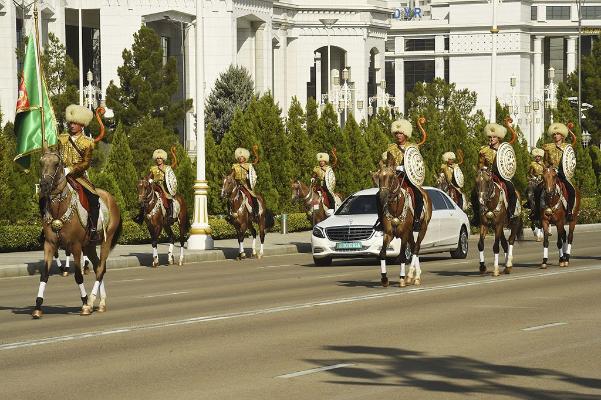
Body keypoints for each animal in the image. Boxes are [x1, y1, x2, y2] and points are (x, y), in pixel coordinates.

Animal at [33, 149, 122, 318]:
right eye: (41, 162)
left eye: (56, 164)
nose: (44, 185)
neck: (59, 209)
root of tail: (111, 198)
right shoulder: (49, 244)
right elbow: (44, 274)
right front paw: (38, 306)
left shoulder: (75, 245)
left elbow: (79, 276)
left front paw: (85, 302)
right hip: (90, 245)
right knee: (98, 266)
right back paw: (101, 303)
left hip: (106, 240)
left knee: (100, 268)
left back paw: (92, 301)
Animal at [376, 156, 432, 288]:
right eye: (379, 177)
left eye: (391, 177)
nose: (382, 196)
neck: (395, 208)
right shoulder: (388, 234)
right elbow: (382, 253)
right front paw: (384, 278)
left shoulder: (404, 234)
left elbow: (402, 256)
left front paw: (402, 279)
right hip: (411, 232)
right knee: (413, 246)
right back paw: (414, 275)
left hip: (423, 228)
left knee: (416, 248)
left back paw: (412, 276)